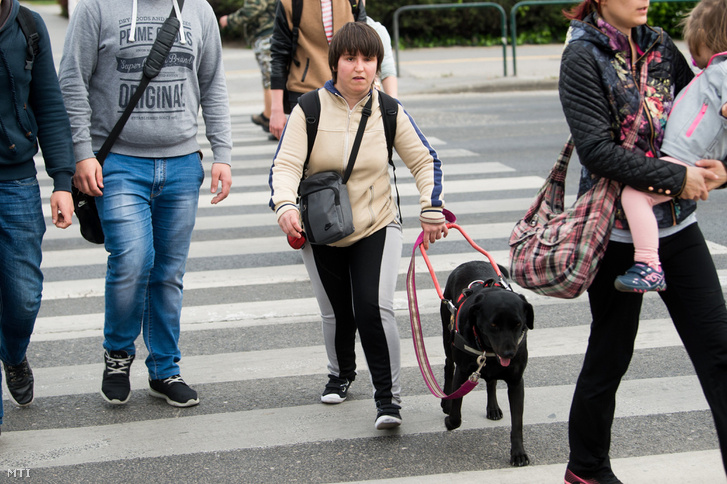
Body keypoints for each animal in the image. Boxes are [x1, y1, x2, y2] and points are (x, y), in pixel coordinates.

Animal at [438, 262, 536, 466]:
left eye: (517, 324)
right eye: (493, 325)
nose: (509, 353)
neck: (487, 350)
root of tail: (471, 262)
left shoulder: (516, 381)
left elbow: (517, 423)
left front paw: (518, 453)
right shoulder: (463, 372)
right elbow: (457, 414)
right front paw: (450, 420)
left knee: (491, 382)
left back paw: (493, 408)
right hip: (447, 335)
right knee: (448, 366)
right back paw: (446, 402)